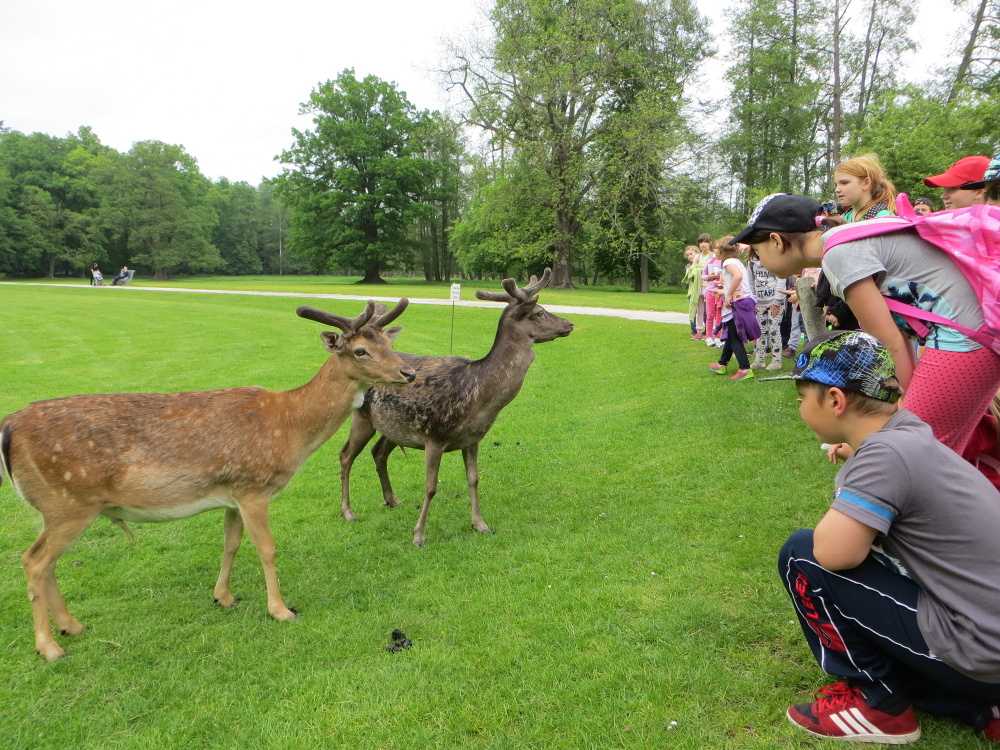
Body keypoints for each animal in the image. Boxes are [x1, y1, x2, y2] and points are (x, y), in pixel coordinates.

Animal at [0, 296, 414, 660]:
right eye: (359, 350)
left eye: (389, 343)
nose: (408, 372)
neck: (289, 427)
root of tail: (9, 427)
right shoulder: (253, 486)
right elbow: (267, 549)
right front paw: (281, 610)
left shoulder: (231, 493)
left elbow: (231, 544)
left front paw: (223, 597)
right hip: (68, 501)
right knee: (34, 560)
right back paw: (50, 647)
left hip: (56, 507)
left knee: (46, 562)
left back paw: (71, 626)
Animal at [338, 270, 572, 548]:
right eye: (539, 312)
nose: (569, 324)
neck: (480, 396)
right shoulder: (435, 436)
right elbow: (430, 487)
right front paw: (419, 535)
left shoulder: (473, 439)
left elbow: (474, 479)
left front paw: (480, 524)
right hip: (362, 416)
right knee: (346, 456)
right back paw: (348, 512)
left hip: (393, 428)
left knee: (378, 452)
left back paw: (391, 499)